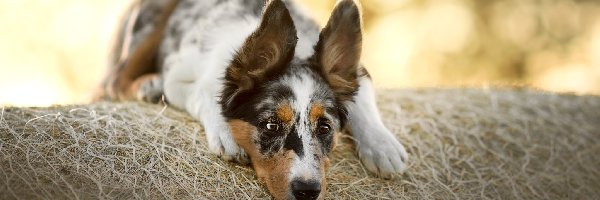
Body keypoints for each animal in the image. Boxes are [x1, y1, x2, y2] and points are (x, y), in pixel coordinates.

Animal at [96, 0, 408, 198]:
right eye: (270, 125)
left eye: (325, 128)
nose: (307, 191)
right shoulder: (179, 77)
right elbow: (204, 93)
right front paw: (225, 134)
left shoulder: (359, 74)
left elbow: (362, 100)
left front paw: (383, 147)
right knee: (116, 79)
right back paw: (148, 85)